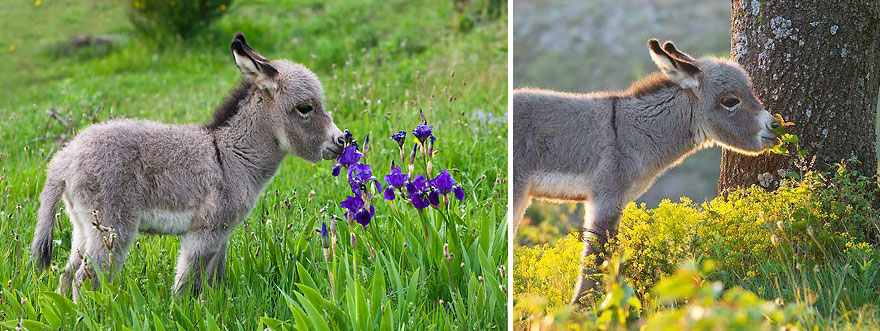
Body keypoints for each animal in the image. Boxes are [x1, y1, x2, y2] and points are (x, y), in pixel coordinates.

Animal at [31, 33, 348, 300]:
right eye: (305, 108)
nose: (343, 140)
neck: (231, 155)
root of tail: (64, 159)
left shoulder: (222, 233)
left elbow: (214, 280)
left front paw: (214, 307)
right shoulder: (203, 233)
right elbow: (186, 285)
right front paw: (180, 312)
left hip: (82, 226)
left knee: (67, 276)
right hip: (112, 227)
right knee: (85, 280)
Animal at [512, 39, 780, 306]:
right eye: (731, 101)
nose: (776, 125)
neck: (631, 132)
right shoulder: (607, 196)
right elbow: (596, 256)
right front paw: (583, 308)